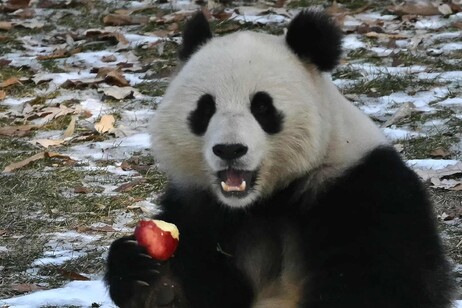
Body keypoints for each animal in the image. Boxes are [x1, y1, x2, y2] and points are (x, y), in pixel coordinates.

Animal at [104, 9, 454, 308]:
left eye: (262, 107)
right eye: (205, 109)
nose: (229, 149)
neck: (265, 201)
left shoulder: (365, 190)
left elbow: (383, 284)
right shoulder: (199, 209)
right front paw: (150, 279)